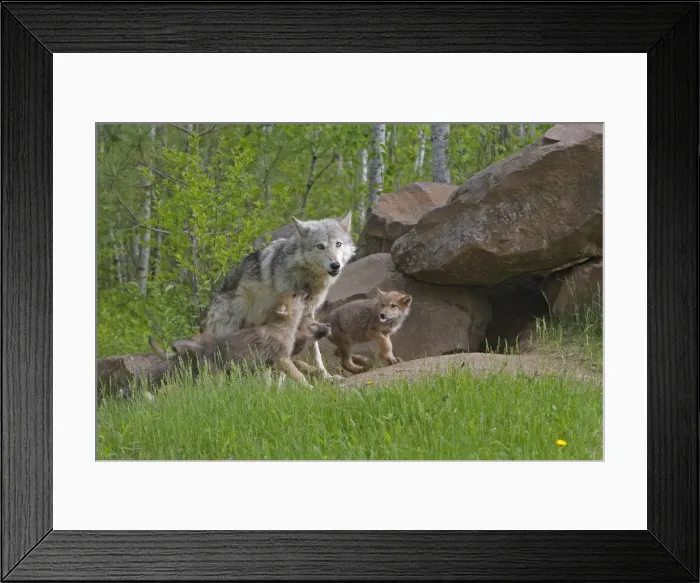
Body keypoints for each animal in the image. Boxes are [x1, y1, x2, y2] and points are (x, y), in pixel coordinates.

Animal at [203, 211, 355, 380]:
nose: (335, 265)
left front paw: (326, 377)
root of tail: (219, 290)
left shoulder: (308, 313)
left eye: (338, 244)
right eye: (320, 246)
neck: (306, 278)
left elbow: (316, 352)